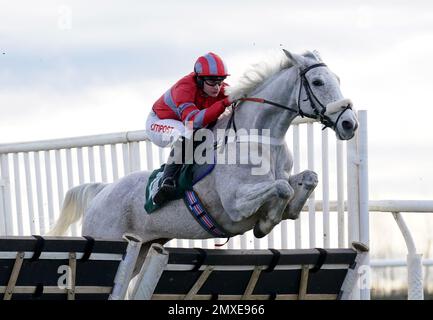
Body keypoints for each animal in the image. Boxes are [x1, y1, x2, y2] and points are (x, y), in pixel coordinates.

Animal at [47, 50, 358, 276]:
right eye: (317, 82)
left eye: (338, 79)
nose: (349, 123)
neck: (261, 138)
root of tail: (101, 192)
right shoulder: (235, 205)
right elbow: (282, 188)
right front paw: (266, 222)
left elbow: (307, 178)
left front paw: (287, 210)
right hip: (109, 241)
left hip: (142, 251)